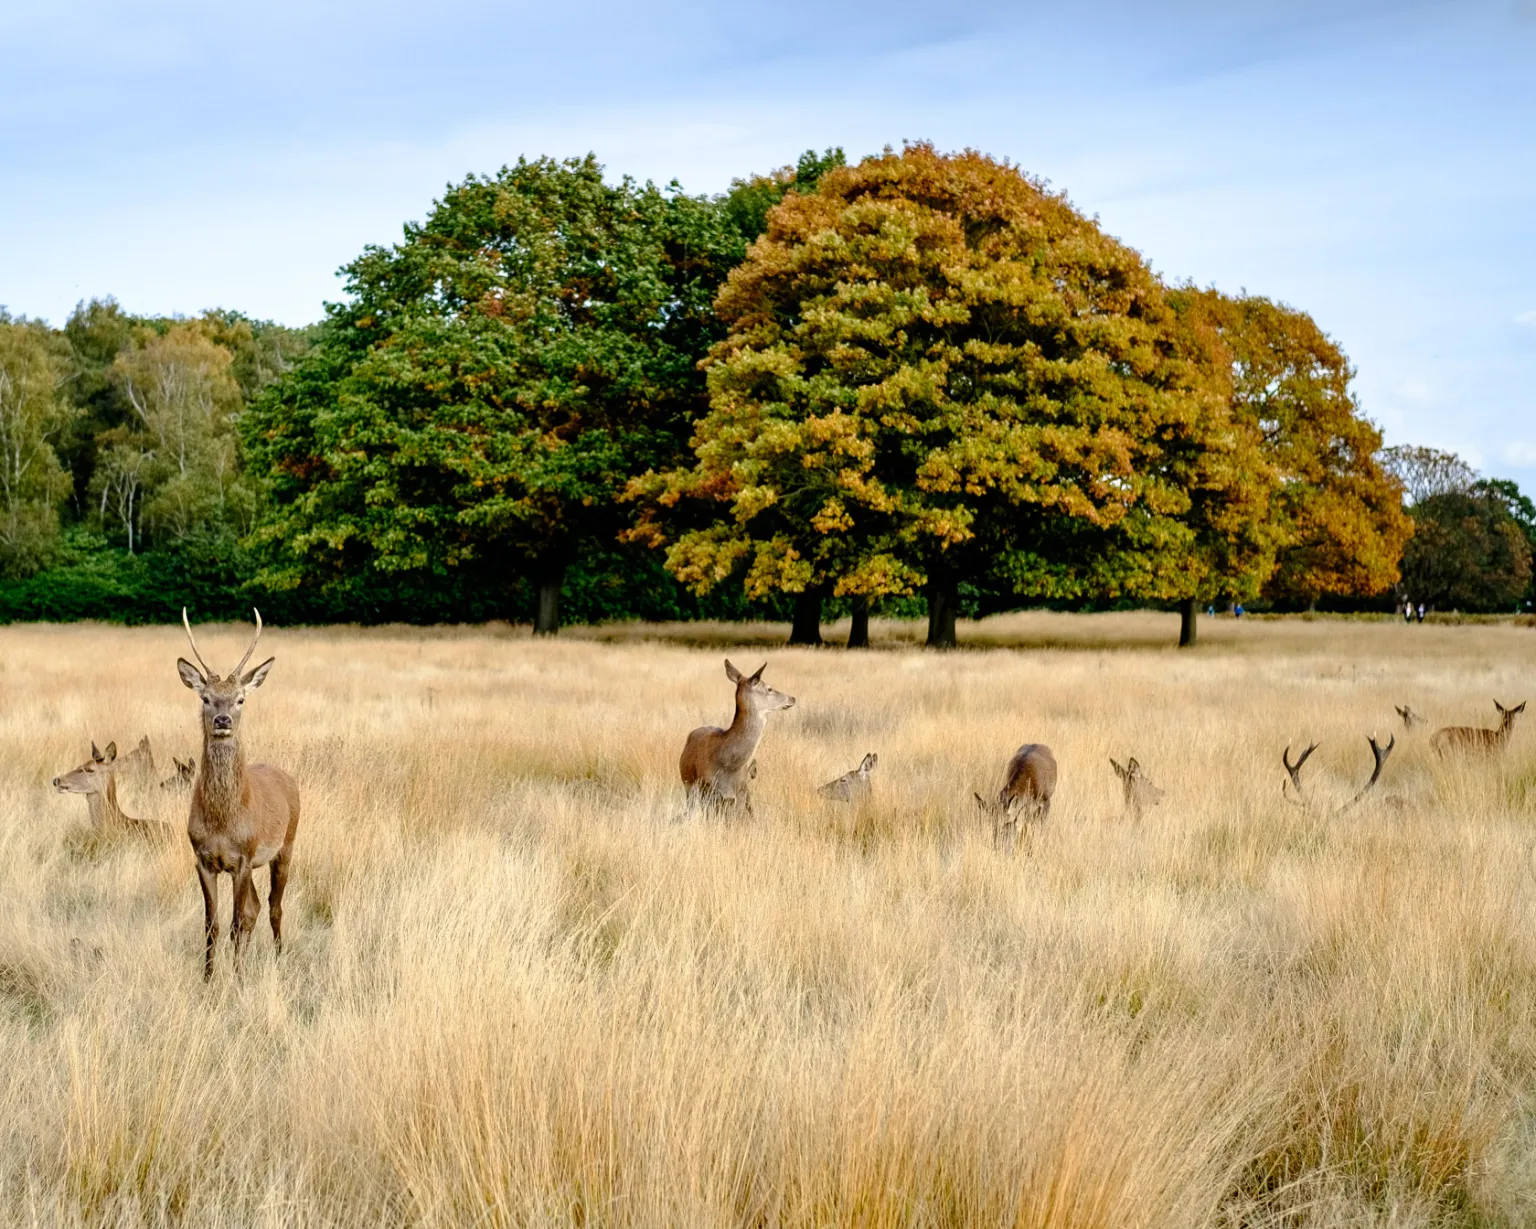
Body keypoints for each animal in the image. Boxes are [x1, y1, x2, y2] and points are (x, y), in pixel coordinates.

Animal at [177, 608, 301, 979]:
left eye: (240, 699)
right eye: (205, 697)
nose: (222, 719)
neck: (222, 824)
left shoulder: (244, 857)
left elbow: (234, 922)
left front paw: (236, 979)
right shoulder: (203, 858)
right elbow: (212, 924)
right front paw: (208, 979)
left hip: (286, 845)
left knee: (274, 907)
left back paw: (279, 957)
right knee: (256, 907)